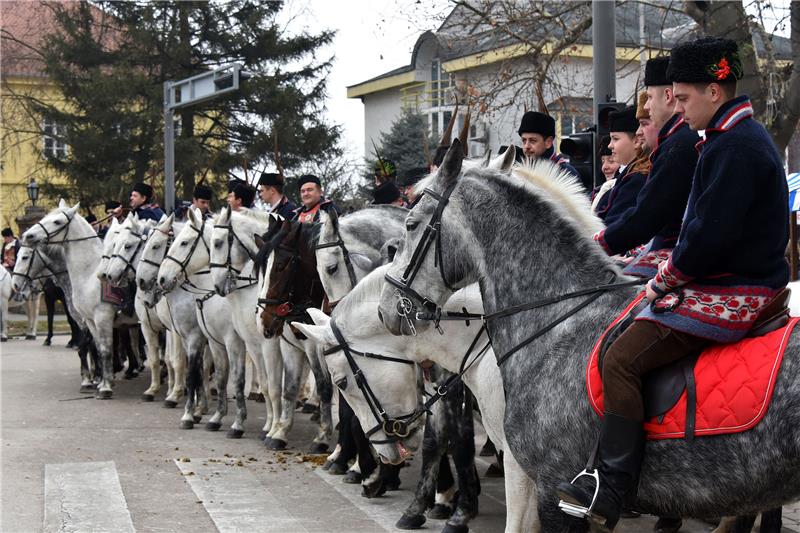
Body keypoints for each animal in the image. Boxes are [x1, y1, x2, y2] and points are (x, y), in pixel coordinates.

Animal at [21, 202, 138, 396]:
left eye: (57, 221)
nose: (28, 235)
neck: (90, 275)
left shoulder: (102, 317)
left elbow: (103, 349)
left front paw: (102, 385)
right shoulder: (89, 320)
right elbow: (97, 348)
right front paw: (102, 381)